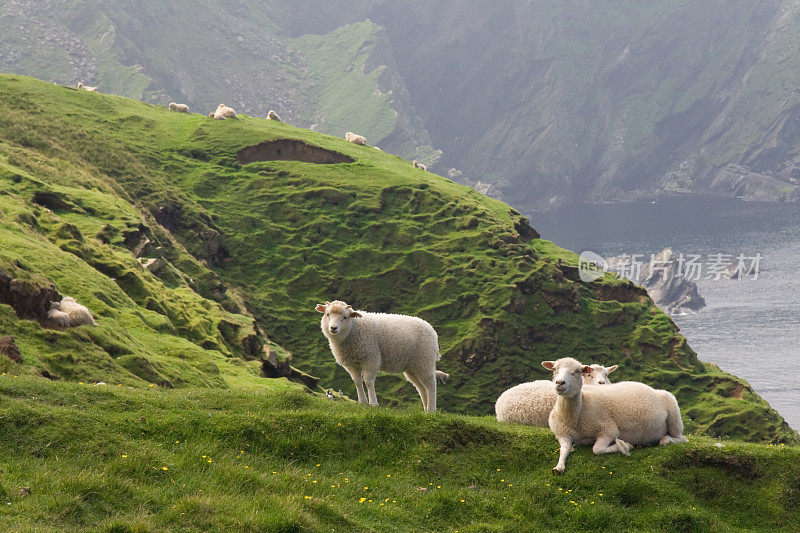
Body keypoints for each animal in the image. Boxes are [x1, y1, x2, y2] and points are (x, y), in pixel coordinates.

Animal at [316, 300, 446, 412]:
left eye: (345, 317)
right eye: (327, 314)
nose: (333, 328)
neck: (353, 329)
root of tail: (432, 330)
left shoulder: (371, 358)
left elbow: (368, 381)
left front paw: (373, 403)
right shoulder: (352, 364)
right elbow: (357, 382)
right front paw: (362, 402)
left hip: (425, 360)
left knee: (430, 385)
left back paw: (432, 410)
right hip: (413, 367)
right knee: (421, 388)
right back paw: (426, 410)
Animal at [540, 358, 684, 474]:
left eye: (577, 371)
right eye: (554, 369)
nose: (560, 382)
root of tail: (653, 389)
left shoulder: (609, 430)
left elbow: (597, 449)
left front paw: (625, 446)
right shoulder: (561, 434)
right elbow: (563, 449)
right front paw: (559, 467)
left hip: (674, 418)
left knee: (681, 439)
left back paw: (666, 440)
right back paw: (643, 443)